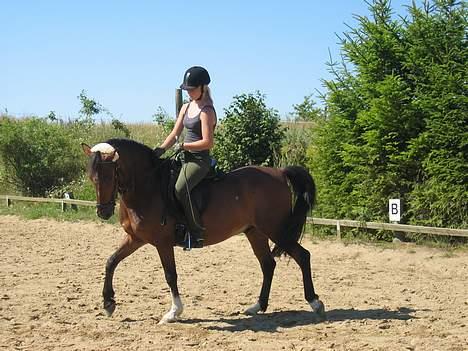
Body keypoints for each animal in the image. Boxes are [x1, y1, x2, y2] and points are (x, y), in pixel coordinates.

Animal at [82, 138, 326, 324]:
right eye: (92, 177)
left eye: (109, 176)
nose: (103, 212)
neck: (148, 188)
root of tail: (280, 172)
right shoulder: (135, 238)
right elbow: (111, 261)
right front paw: (108, 303)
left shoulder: (162, 242)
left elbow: (170, 275)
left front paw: (173, 313)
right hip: (255, 232)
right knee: (268, 264)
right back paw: (257, 306)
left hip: (275, 230)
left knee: (302, 256)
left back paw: (315, 303)